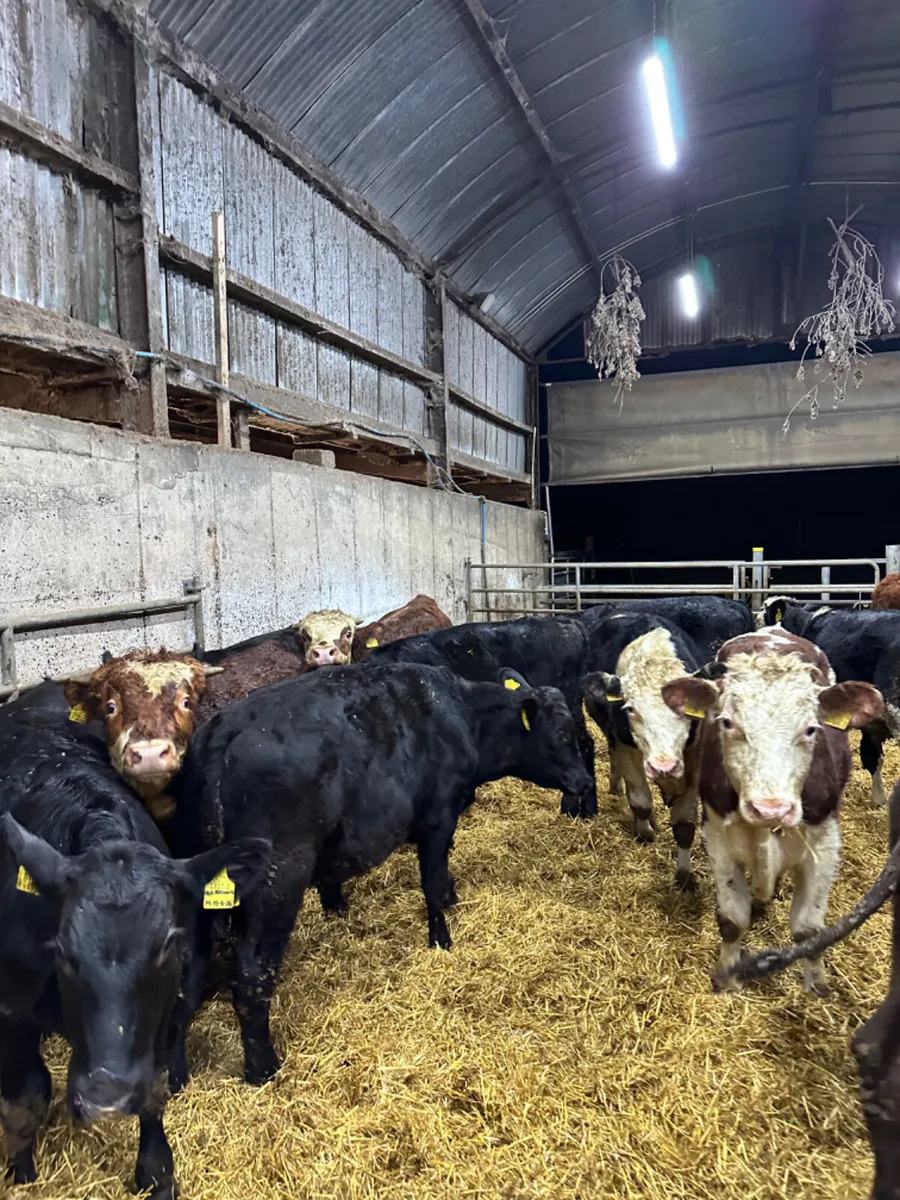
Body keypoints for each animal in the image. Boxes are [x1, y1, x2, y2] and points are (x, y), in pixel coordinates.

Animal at [0, 710, 269, 1197]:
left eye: (169, 945)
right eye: (62, 952)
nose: (107, 1098)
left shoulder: (161, 1013)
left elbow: (155, 1090)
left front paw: (156, 1171)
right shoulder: (10, 1010)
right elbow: (26, 1098)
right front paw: (22, 1172)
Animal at [162, 661, 593, 1085]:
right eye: (561, 733)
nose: (586, 781)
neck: (460, 713)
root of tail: (223, 734)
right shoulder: (438, 816)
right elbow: (432, 880)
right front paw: (442, 938)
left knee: (182, 987)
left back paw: (177, 1077)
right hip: (279, 880)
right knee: (253, 974)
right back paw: (263, 1069)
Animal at [581, 612, 706, 888]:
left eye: (686, 708)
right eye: (630, 709)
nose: (663, 766)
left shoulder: (693, 759)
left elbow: (684, 824)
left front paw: (684, 875)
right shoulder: (626, 747)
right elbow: (641, 802)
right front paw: (646, 830)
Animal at [659, 628, 882, 992]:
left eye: (811, 728)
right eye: (726, 723)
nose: (770, 809)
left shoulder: (825, 845)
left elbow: (808, 929)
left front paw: (815, 985)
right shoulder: (719, 839)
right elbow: (732, 920)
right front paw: (726, 976)